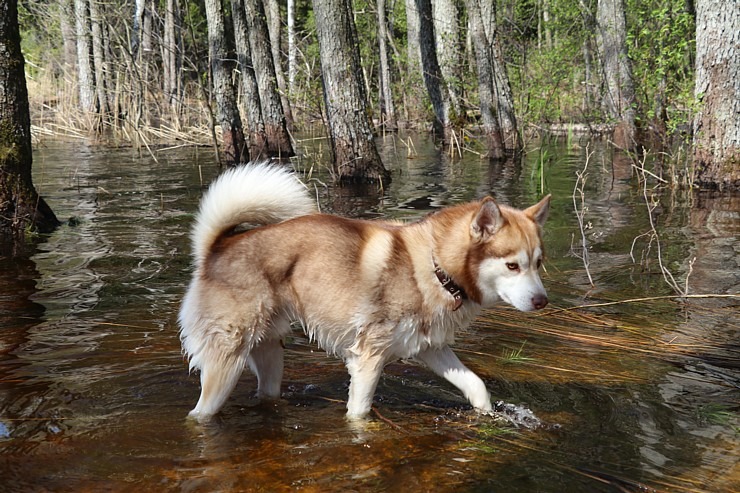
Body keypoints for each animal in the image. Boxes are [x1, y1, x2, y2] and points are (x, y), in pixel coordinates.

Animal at [179, 163, 548, 420]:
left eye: (538, 263)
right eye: (512, 266)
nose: (542, 301)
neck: (435, 267)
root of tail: (217, 248)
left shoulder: (431, 348)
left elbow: (477, 385)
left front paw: (489, 415)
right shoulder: (368, 359)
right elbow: (359, 413)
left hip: (270, 356)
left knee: (267, 391)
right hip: (226, 365)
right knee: (198, 414)